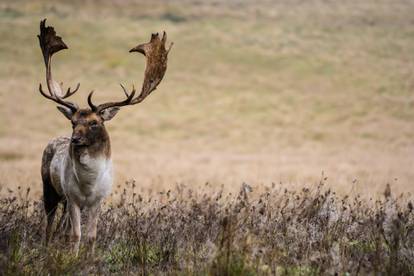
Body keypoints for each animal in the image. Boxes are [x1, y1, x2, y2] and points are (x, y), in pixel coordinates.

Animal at [36, 19, 171, 254]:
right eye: (73, 122)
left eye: (94, 123)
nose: (75, 140)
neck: (88, 183)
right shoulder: (73, 198)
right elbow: (76, 234)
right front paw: (72, 257)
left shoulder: (97, 200)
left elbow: (91, 235)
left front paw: (88, 257)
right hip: (50, 188)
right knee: (50, 225)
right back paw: (47, 246)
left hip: (63, 198)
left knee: (62, 226)